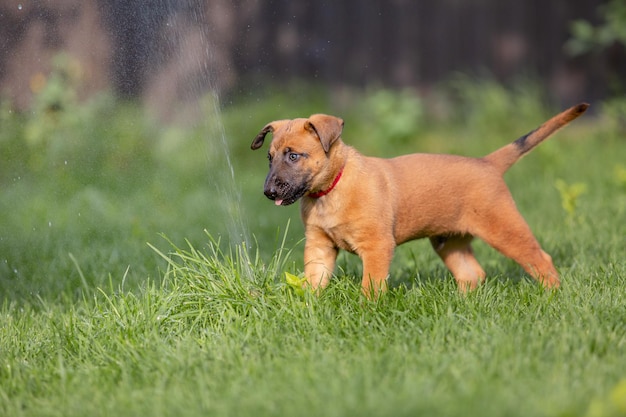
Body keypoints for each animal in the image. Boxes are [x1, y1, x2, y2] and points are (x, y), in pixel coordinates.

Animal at [249, 102, 584, 294]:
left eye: (294, 156)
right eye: (269, 158)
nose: (268, 192)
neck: (331, 189)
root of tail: (487, 163)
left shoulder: (377, 247)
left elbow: (371, 286)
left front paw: (366, 311)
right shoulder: (320, 246)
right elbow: (314, 281)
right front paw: (308, 307)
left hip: (504, 228)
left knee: (540, 259)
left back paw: (552, 296)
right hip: (449, 241)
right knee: (473, 274)